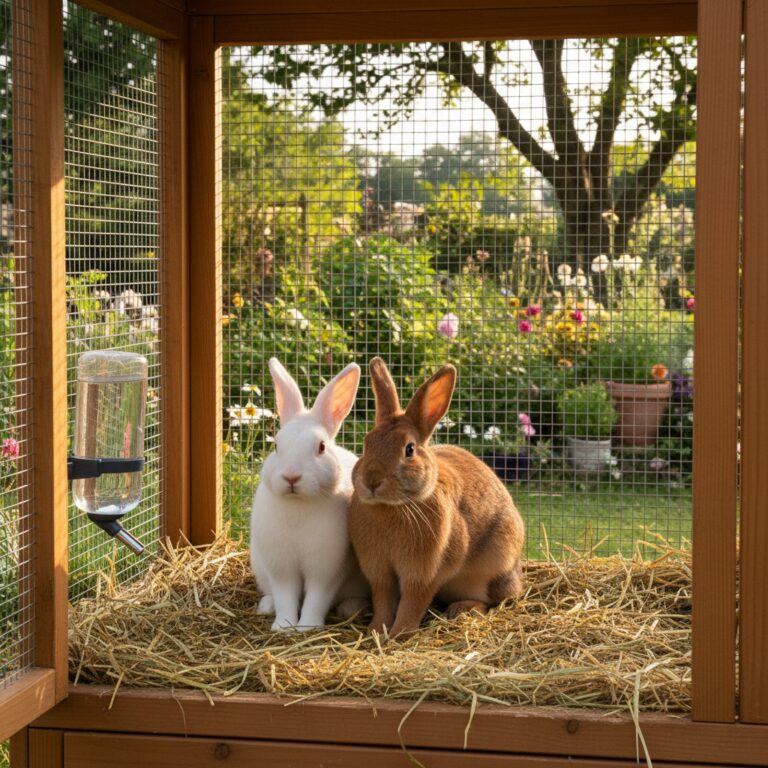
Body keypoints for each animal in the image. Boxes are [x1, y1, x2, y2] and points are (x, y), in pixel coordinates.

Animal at [250, 358, 370, 632]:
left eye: (321, 447)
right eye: (276, 446)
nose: (291, 477)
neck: (299, 505)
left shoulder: (326, 568)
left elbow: (317, 597)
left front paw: (307, 627)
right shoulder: (280, 568)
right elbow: (285, 595)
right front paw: (284, 626)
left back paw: (350, 608)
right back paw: (266, 606)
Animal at [349, 357, 525, 638]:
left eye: (409, 449)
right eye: (367, 442)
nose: (372, 481)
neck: (394, 506)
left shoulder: (425, 572)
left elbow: (413, 600)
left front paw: (401, 633)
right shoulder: (378, 571)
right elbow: (383, 598)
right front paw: (376, 630)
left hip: (494, 568)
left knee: (495, 601)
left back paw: (463, 609)